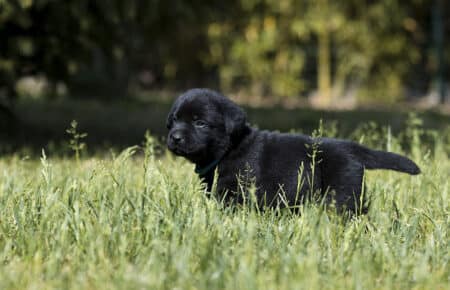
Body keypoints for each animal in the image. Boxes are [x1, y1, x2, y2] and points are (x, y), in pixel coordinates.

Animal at [166, 88, 422, 213]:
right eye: (175, 119)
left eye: (200, 123)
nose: (175, 137)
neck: (229, 149)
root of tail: (353, 148)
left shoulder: (239, 190)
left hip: (341, 192)